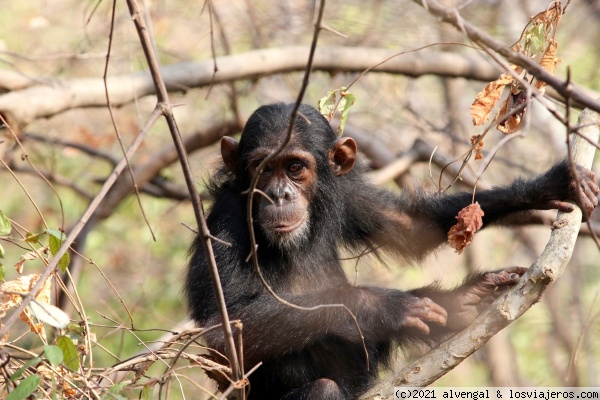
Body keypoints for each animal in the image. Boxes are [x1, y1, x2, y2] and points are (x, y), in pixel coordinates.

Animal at [185, 103, 596, 400]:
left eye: (295, 166)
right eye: (262, 169)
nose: (278, 194)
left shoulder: (348, 193)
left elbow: (411, 228)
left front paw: (550, 185)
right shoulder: (225, 221)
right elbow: (225, 328)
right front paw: (380, 306)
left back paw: (465, 300)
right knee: (324, 390)